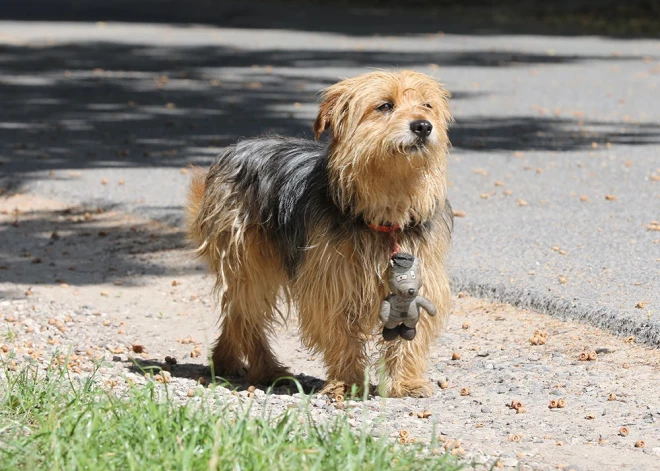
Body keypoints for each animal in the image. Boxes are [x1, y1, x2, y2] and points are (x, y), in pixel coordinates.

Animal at [186, 68, 454, 396]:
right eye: (385, 106)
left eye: (427, 106)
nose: (423, 126)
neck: (387, 209)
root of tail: (237, 148)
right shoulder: (331, 284)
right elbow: (340, 332)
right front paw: (347, 382)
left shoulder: (420, 276)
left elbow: (411, 333)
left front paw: (406, 381)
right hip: (249, 264)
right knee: (247, 315)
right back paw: (268, 369)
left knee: (236, 313)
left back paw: (225, 360)